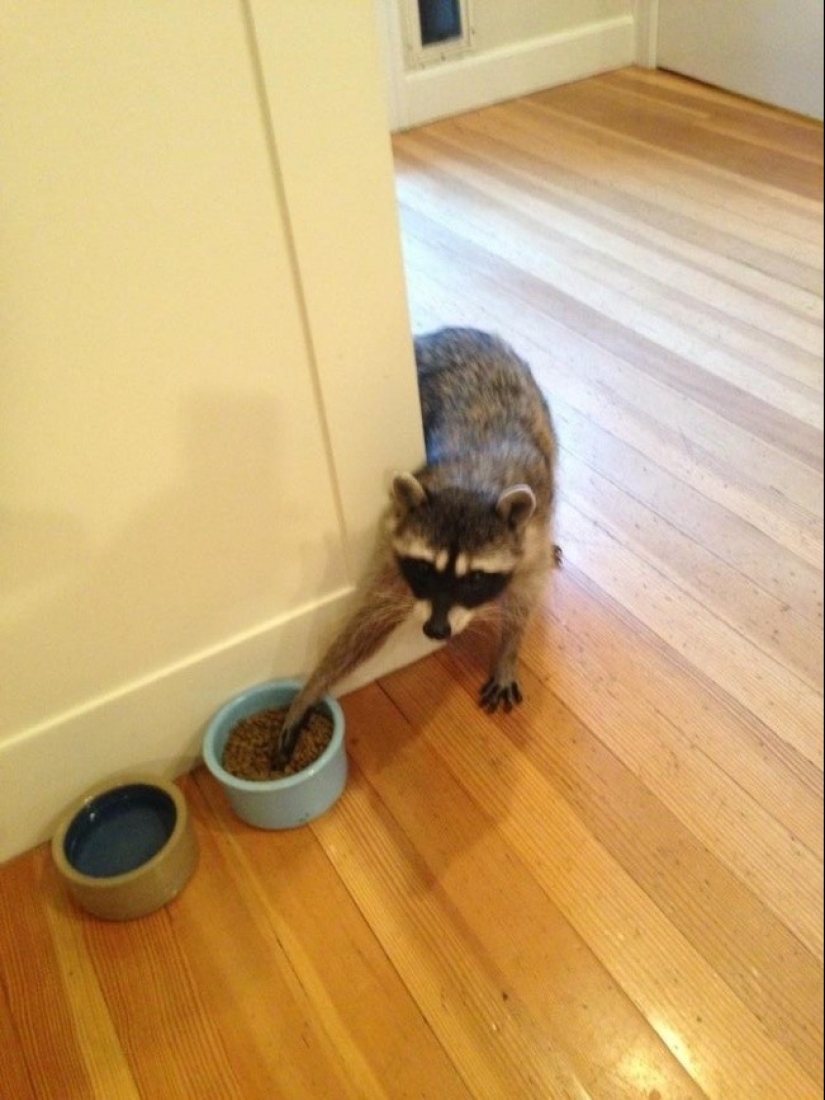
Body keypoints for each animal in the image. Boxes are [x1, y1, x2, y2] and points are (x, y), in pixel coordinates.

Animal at [275, 328, 559, 763]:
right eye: (425, 569)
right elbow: (369, 619)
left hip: (540, 411)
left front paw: (508, 651)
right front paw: (311, 690)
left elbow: (524, 598)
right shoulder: (395, 546)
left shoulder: (530, 536)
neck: (469, 484)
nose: (436, 630)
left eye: (475, 578)